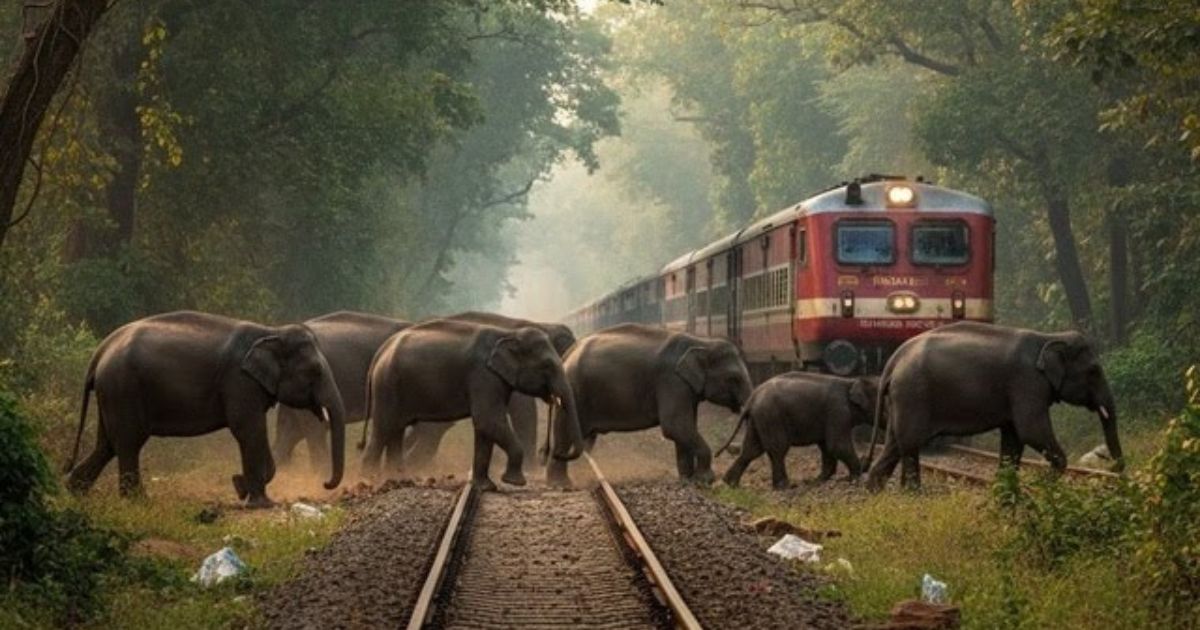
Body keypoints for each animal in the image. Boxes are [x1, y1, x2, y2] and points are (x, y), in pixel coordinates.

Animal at [63, 311, 347, 506]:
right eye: (316, 371)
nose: (325, 483)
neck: (271, 331)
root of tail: (101, 350)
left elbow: (253, 432)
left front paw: (241, 487)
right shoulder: (239, 382)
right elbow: (248, 430)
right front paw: (260, 503)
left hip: (112, 393)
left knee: (107, 444)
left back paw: (74, 492)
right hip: (123, 388)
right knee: (129, 442)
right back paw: (138, 501)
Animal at [546, 324, 753, 488]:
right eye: (733, 378)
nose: (726, 450)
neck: (702, 342)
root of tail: (567, 354)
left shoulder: (685, 389)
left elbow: (684, 428)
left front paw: (687, 480)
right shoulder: (671, 381)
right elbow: (675, 426)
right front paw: (705, 480)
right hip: (573, 391)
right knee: (564, 435)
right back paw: (560, 484)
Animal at [719, 372, 878, 489]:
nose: (866, 464)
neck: (851, 381)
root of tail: (752, 398)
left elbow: (827, 446)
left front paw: (818, 480)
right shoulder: (838, 411)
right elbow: (837, 445)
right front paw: (855, 478)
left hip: (758, 419)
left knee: (751, 450)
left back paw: (730, 484)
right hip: (771, 417)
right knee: (777, 449)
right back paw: (784, 486)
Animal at [865, 321, 1124, 490]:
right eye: (1094, 371)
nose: (1115, 471)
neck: (1048, 337)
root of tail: (895, 358)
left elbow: (1013, 439)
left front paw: (1005, 491)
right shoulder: (1026, 383)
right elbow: (1031, 431)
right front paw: (1045, 485)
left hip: (901, 400)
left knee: (894, 445)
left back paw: (875, 492)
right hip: (913, 395)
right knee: (909, 444)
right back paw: (912, 494)